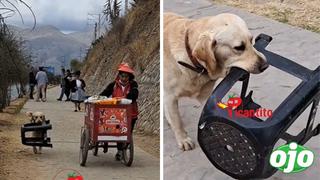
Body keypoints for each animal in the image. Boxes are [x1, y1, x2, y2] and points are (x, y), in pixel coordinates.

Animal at [165, 12, 268, 150]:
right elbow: (177, 121)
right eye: (239, 47)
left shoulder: (208, 97)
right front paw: (183, 139)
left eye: (252, 40)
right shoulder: (170, 96)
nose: (265, 65)